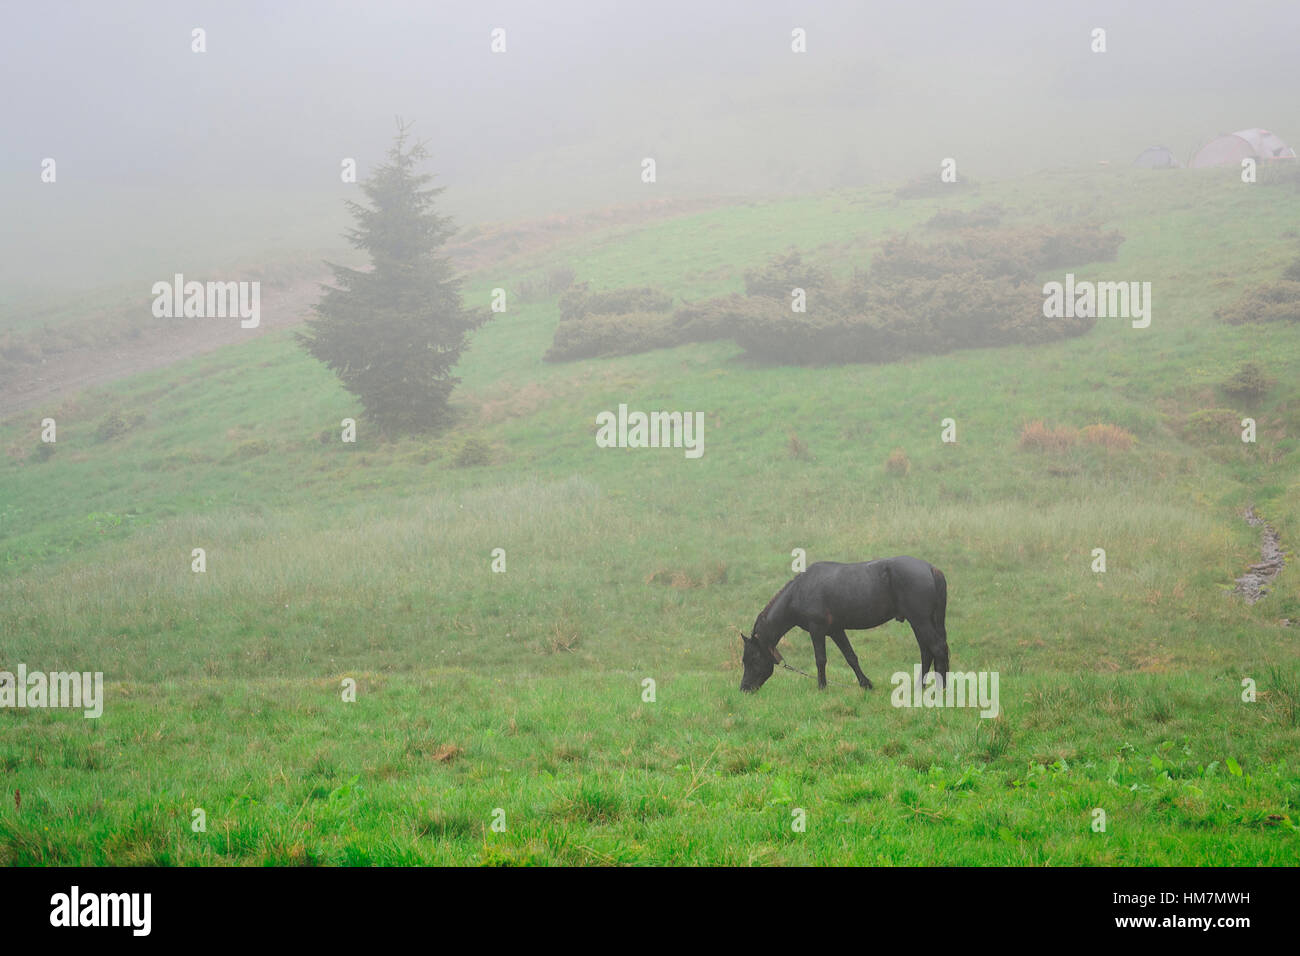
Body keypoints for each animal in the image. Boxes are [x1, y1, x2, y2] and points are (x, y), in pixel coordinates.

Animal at [743, 554, 946, 697]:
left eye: (752, 658)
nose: (744, 688)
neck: (800, 591)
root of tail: (930, 568)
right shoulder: (836, 631)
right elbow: (851, 657)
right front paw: (866, 684)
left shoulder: (817, 629)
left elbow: (820, 659)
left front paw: (822, 687)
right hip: (922, 623)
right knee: (927, 652)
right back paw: (920, 688)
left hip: (920, 621)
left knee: (938, 648)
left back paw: (942, 689)